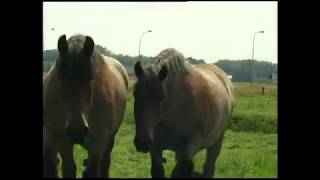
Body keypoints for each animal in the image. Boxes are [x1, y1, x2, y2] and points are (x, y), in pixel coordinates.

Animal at [43, 34, 129, 178]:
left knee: (104, 164)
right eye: (60, 77)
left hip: (110, 138)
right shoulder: (60, 139)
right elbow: (68, 170)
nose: (76, 130)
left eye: (91, 77)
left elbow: (92, 171)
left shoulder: (98, 140)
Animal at [133, 48, 235, 178]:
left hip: (216, 141)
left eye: (161, 97)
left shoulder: (190, 147)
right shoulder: (155, 148)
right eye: (135, 94)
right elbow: (158, 171)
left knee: (209, 168)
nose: (142, 142)